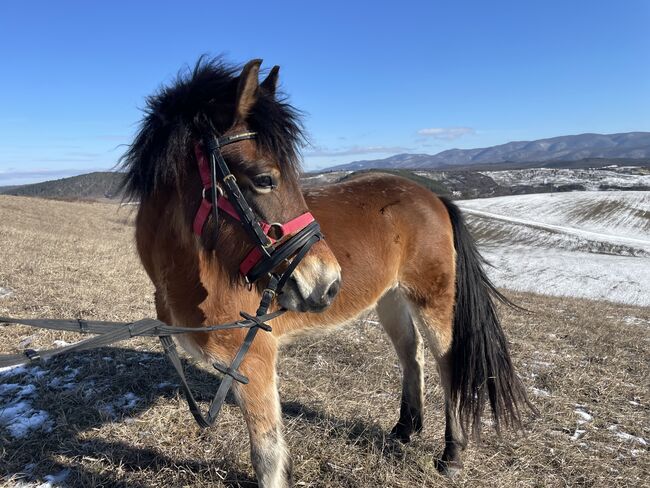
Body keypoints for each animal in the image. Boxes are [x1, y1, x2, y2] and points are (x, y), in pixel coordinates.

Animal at [119, 58, 536, 488]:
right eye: (265, 179)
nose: (327, 283)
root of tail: (432, 196)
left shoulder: (254, 362)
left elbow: (267, 456)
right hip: (389, 297)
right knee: (410, 352)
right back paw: (405, 428)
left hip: (431, 298)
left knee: (447, 363)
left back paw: (451, 453)